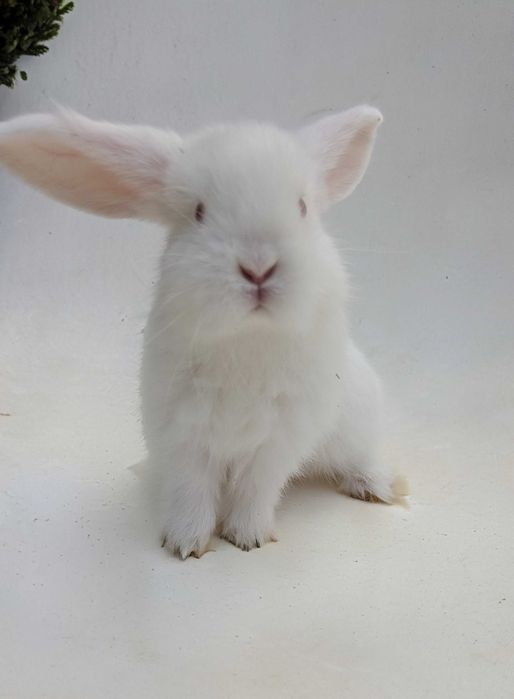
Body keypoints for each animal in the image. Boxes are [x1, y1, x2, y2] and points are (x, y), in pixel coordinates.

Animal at [0, 105, 401, 559]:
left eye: (302, 207)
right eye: (198, 212)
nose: (258, 268)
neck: (247, 339)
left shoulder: (278, 440)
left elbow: (255, 489)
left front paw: (248, 538)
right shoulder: (181, 433)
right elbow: (191, 490)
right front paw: (186, 544)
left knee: (361, 458)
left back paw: (377, 488)